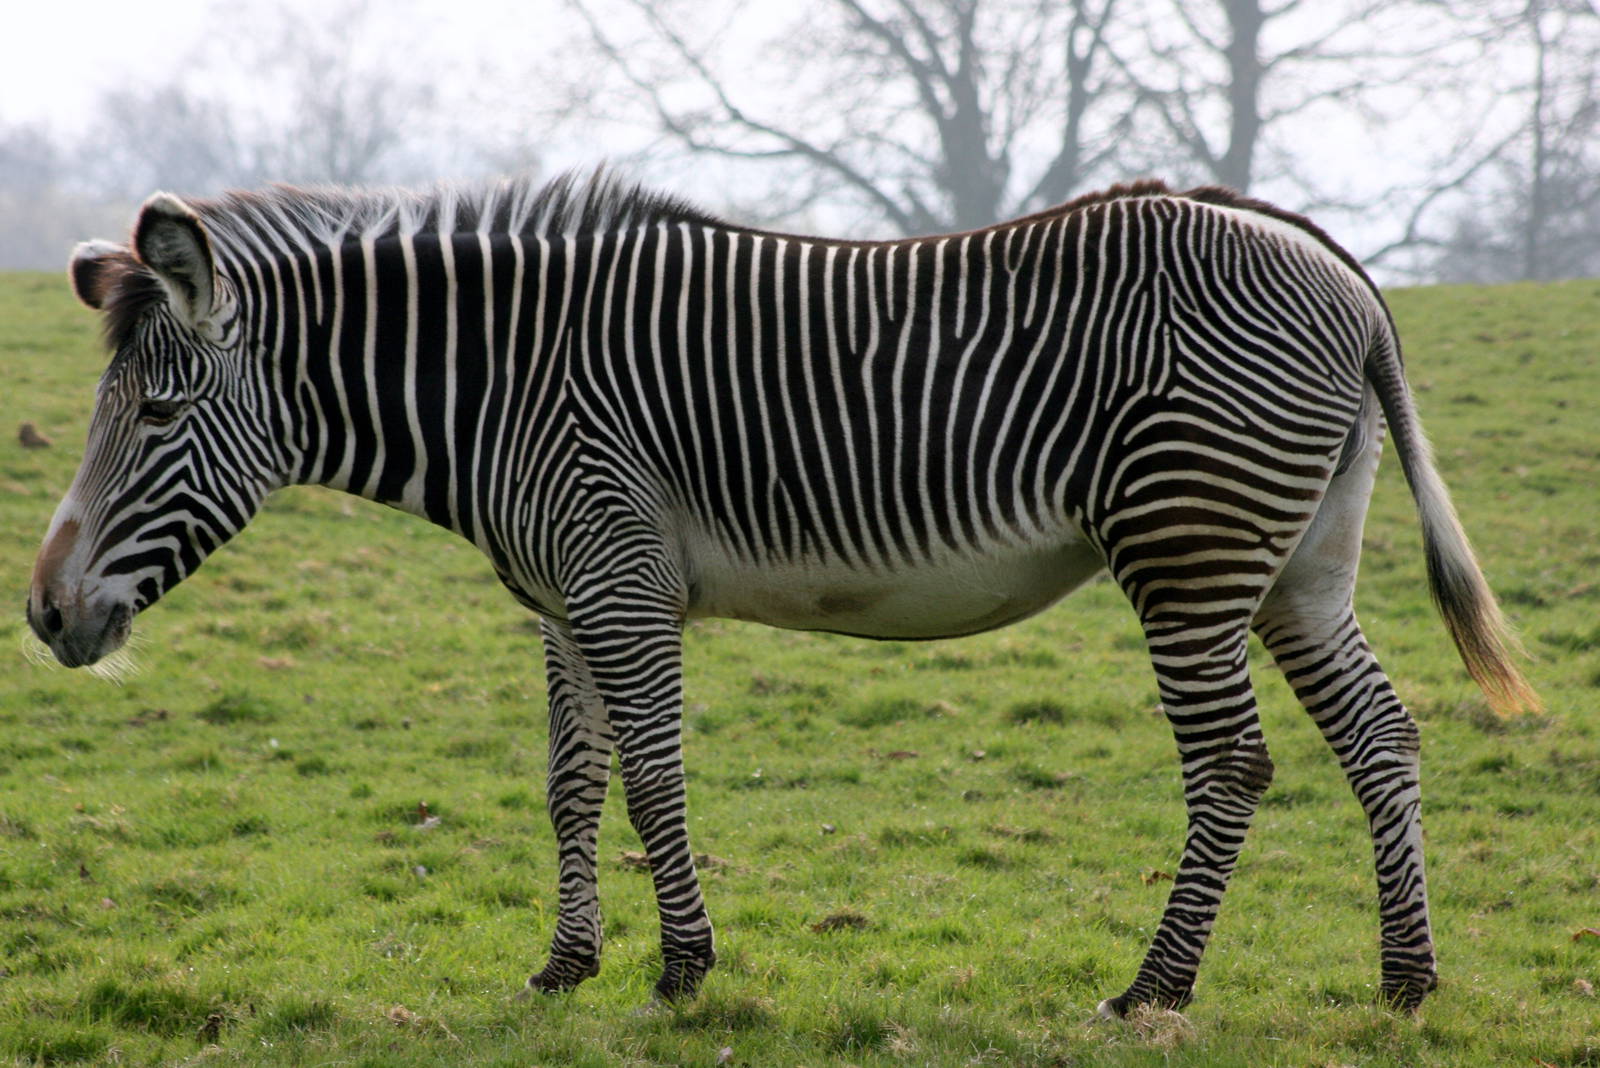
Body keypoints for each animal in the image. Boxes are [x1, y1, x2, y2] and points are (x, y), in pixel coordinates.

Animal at [27, 169, 1536, 1015]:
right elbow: (571, 785)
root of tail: (1343, 272)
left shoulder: (619, 574)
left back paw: (1155, 990)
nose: (43, 616)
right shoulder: (560, 598)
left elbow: (651, 777)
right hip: (1297, 564)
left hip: (1188, 550)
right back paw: (1406, 982)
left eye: (157, 415)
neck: (497, 390)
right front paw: (564, 969)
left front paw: (685, 970)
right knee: (1380, 738)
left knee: (1232, 762)